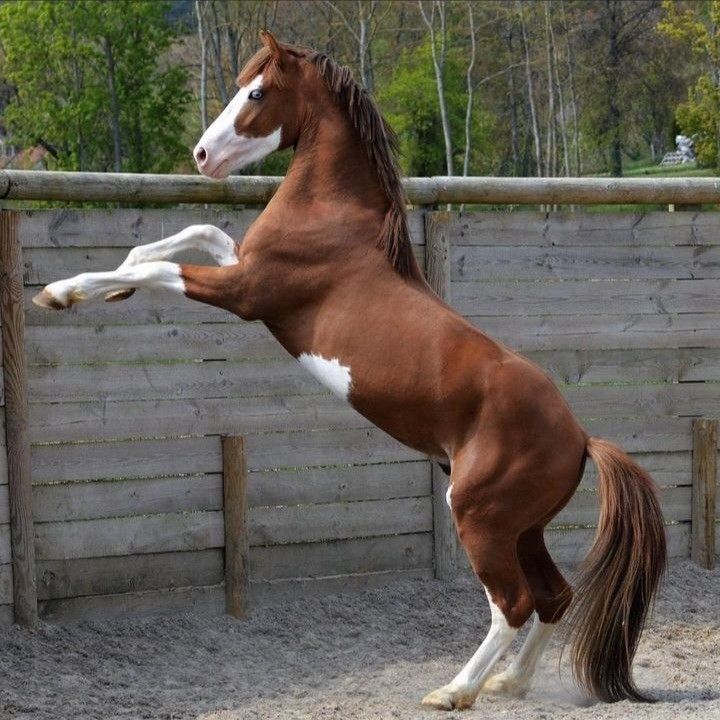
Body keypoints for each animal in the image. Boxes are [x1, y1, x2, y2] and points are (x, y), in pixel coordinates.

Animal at [33, 32, 664, 708]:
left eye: (257, 93)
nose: (202, 155)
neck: (332, 215)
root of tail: (582, 437)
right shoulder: (241, 263)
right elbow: (190, 233)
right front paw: (110, 284)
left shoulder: (247, 292)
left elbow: (162, 268)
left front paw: (60, 292)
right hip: (524, 529)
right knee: (555, 597)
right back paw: (508, 683)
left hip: (480, 518)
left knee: (513, 604)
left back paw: (453, 691)